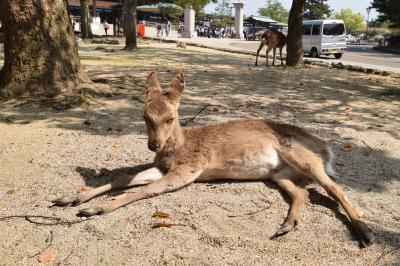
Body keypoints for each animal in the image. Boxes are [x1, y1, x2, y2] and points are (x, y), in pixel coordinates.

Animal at [53, 71, 376, 247]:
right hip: (280, 174)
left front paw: (96, 210)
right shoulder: (163, 167)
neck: (177, 149)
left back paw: (366, 233)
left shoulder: (189, 168)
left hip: (301, 155)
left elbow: (147, 190)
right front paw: (71, 199)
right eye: (145, 116)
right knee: (303, 193)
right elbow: (123, 178)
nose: (153, 144)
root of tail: (326, 149)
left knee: (335, 188)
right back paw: (286, 226)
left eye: (171, 117)